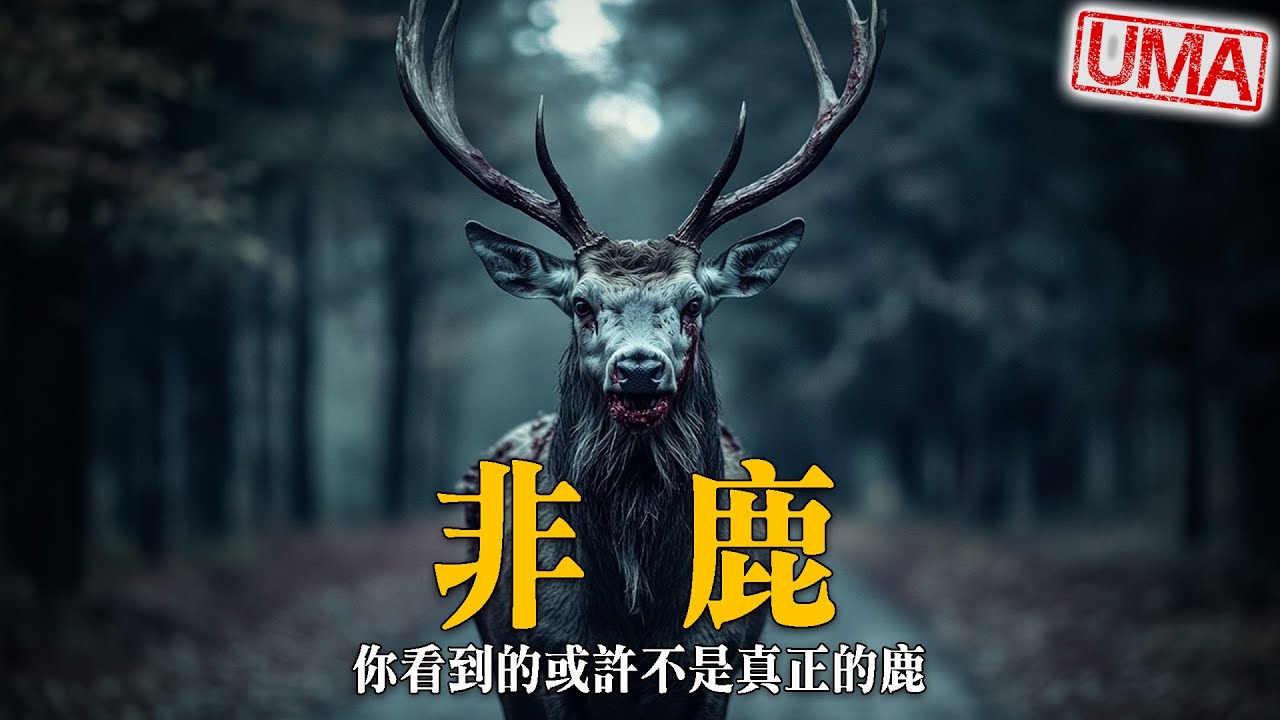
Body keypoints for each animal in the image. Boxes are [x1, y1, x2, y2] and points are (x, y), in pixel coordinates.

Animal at [396, 0, 884, 717]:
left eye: (695, 303)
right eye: (580, 303)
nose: (638, 369)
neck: (632, 619)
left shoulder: (719, 658)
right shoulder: (538, 657)